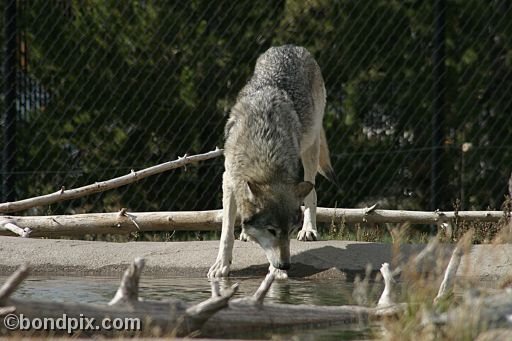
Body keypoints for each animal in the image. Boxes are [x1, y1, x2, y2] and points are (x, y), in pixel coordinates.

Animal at [208, 44, 336, 276]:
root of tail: (291, 46)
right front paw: (221, 265)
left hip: (310, 148)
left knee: (312, 191)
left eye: (290, 230)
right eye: (271, 230)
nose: (285, 265)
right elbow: (226, 232)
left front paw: (275, 272)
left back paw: (309, 230)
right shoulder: (228, 180)